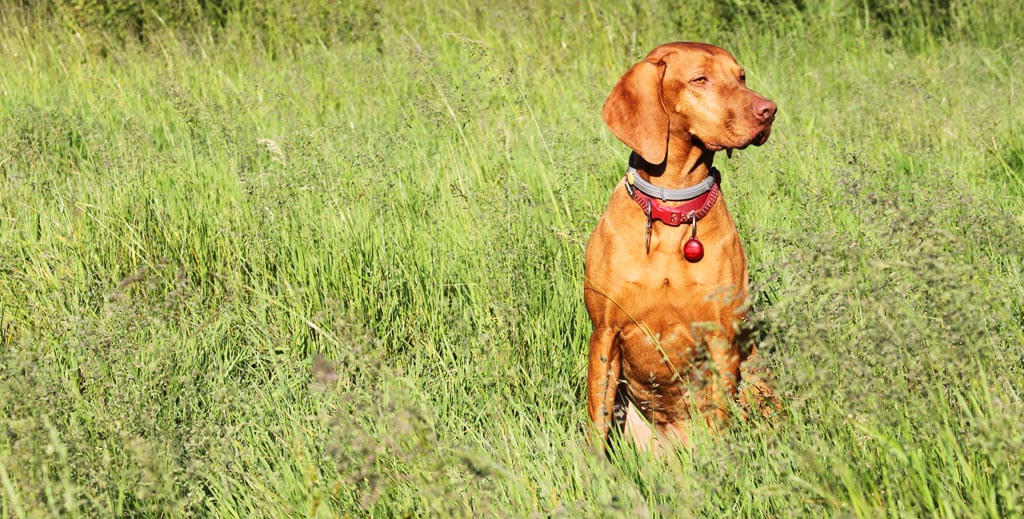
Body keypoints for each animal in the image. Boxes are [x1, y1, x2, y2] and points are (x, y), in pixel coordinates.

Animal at [585, 42, 774, 452]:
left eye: (741, 77)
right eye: (700, 79)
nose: (769, 110)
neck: (672, 210)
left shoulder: (722, 338)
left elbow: (719, 420)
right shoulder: (605, 332)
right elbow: (596, 425)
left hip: (758, 383)